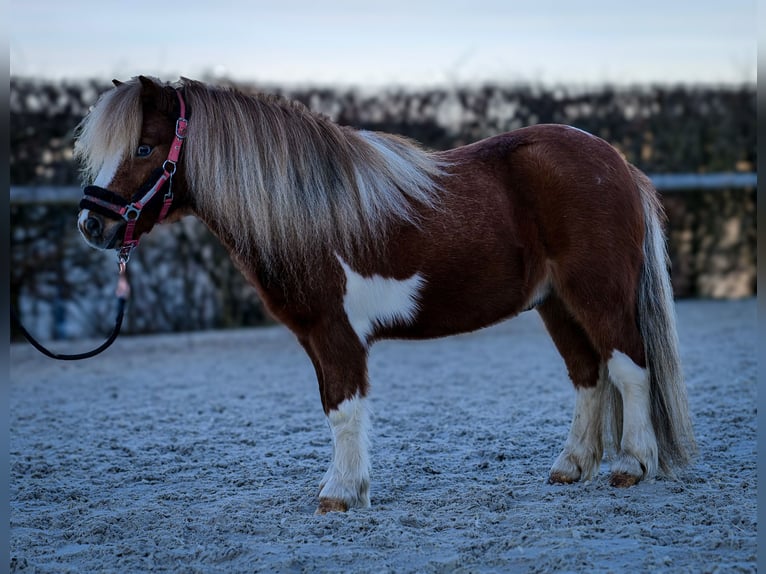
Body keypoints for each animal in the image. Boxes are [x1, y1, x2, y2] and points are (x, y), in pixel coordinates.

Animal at [75, 75, 700, 512]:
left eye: (144, 148)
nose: (91, 225)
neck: (311, 210)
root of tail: (615, 161)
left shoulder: (336, 334)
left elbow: (344, 409)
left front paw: (339, 495)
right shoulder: (316, 338)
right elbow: (334, 407)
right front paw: (349, 489)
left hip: (597, 294)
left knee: (629, 368)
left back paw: (633, 465)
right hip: (557, 304)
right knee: (588, 375)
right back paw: (571, 466)